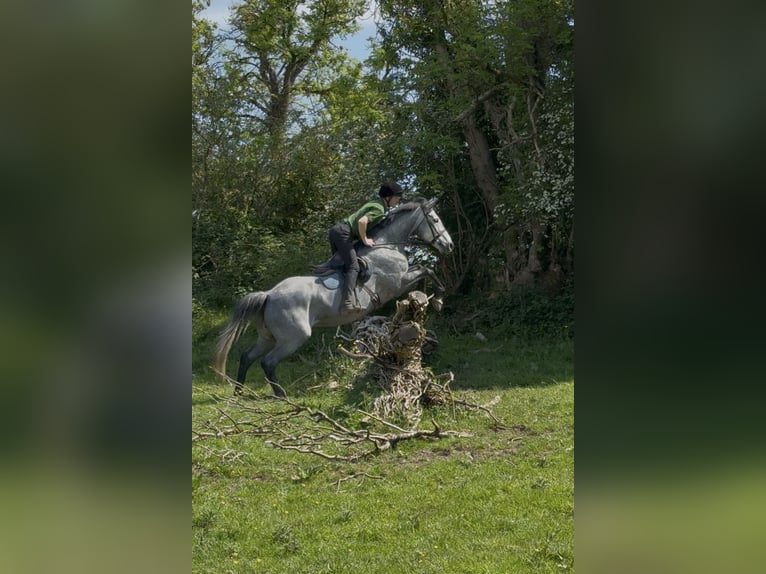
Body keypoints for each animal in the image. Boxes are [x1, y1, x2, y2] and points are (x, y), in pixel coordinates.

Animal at [214, 197, 454, 397]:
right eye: (435, 219)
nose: (449, 245)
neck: (387, 245)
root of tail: (269, 295)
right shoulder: (398, 282)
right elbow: (426, 269)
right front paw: (438, 300)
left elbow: (424, 269)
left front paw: (428, 298)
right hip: (294, 337)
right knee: (268, 362)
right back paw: (281, 395)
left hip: (267, 337)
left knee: (247, 356)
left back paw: (239, 391)